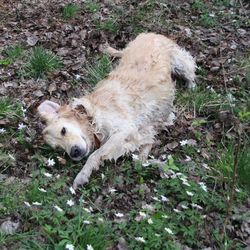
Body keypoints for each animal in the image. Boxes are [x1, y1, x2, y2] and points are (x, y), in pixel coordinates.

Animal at [37, 33, 195, 189]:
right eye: (60, 149)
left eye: (63, 130)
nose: (73, 153)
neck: (92, 117)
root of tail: (147, 34)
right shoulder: (141, 134)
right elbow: (140, 159)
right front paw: (160, 166)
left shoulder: (124, 130)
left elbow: (95, 154)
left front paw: (82, 174)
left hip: (181, 62)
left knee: (190, 71)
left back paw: (191, 87)